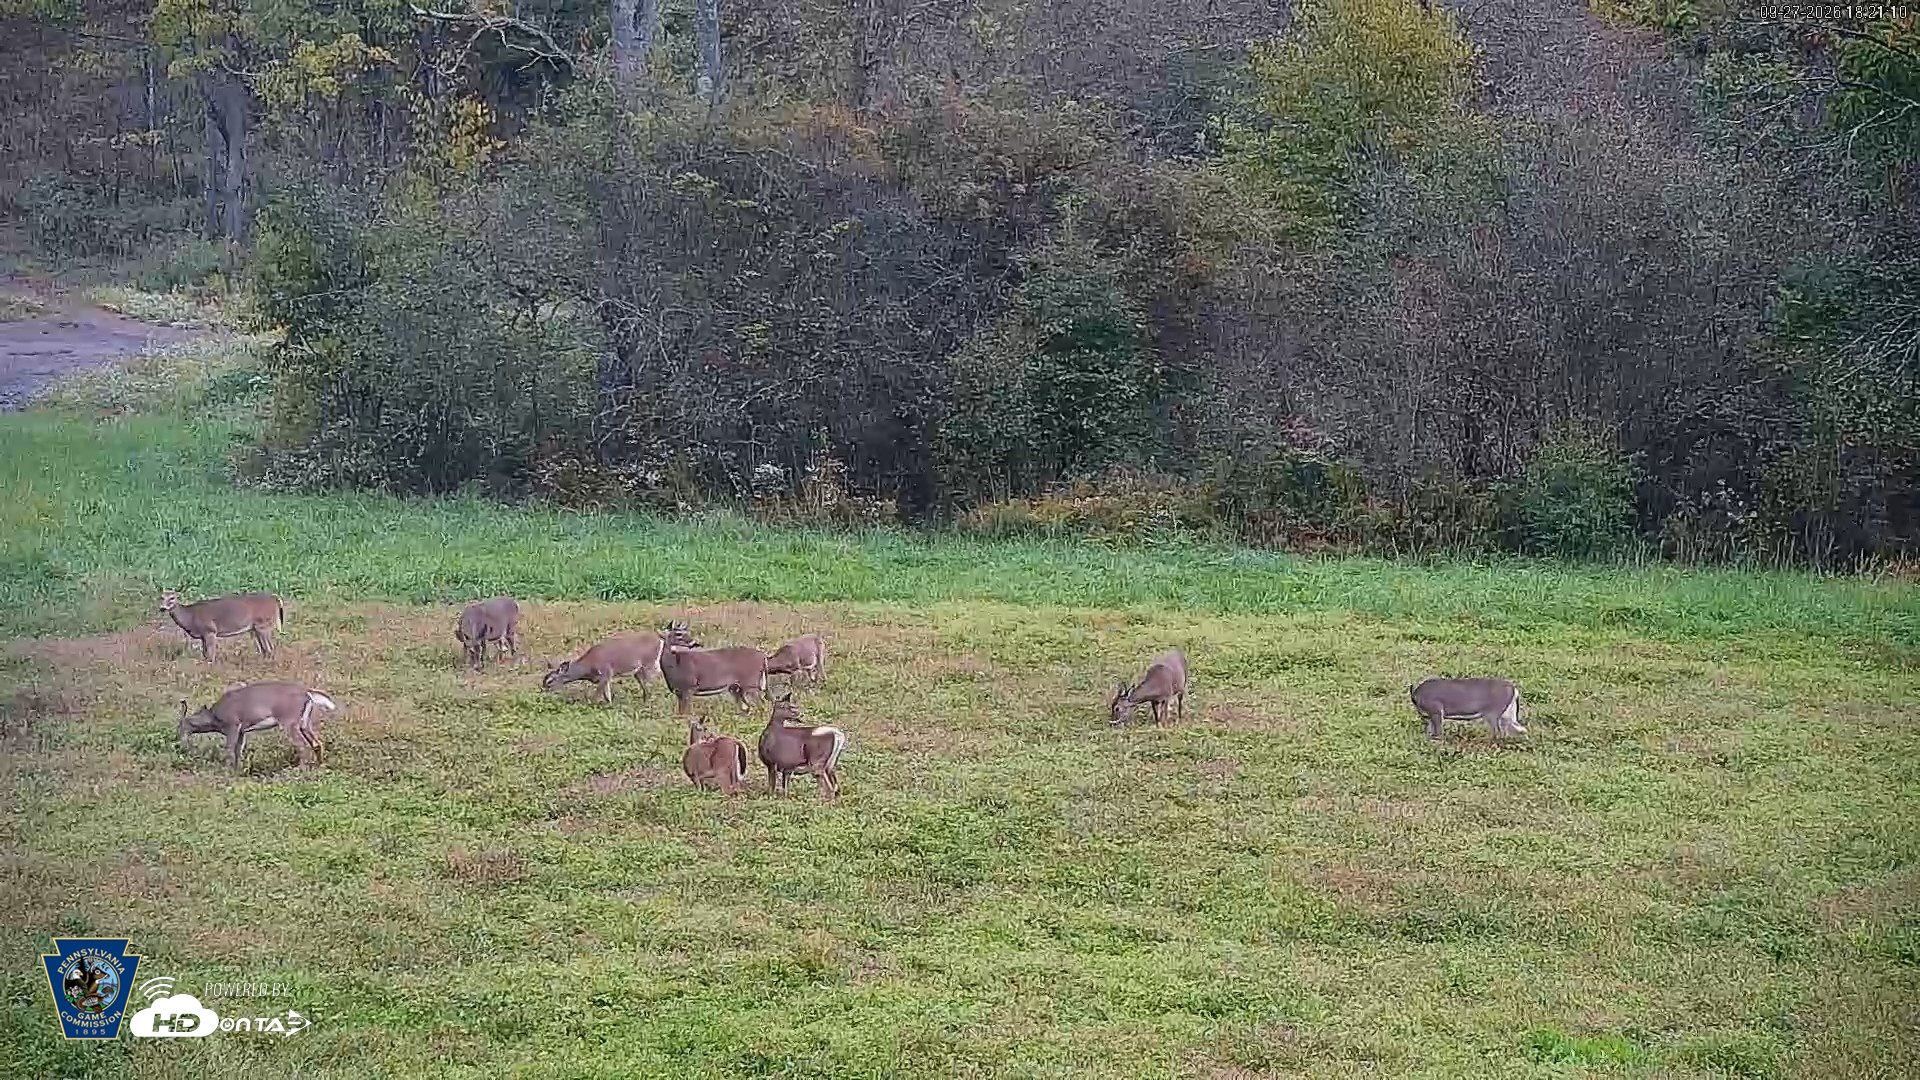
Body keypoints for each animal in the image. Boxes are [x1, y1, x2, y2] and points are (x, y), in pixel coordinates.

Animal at [179, 681, 336, 771]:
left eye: (180, 726)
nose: (180, 742)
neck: (214, 718)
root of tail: (307, 693)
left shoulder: (233, 725)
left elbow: (230, 750)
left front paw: (226, 771)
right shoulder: (242, 731)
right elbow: (238, 751)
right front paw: (237, 771)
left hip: (289, 721)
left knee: (303, 746)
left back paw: (299, 770)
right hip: (304, 722)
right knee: (316, 743)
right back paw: (318, 767)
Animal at [541, 625, 693, 704]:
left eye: (550, 681)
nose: (543, 690)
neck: (587, 667)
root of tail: (661, 638)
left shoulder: (606, 672)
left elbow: (597, 695)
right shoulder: (606, 677)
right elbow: (607, 695)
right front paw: (609, 704)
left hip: (648, 663)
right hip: (640, 669)